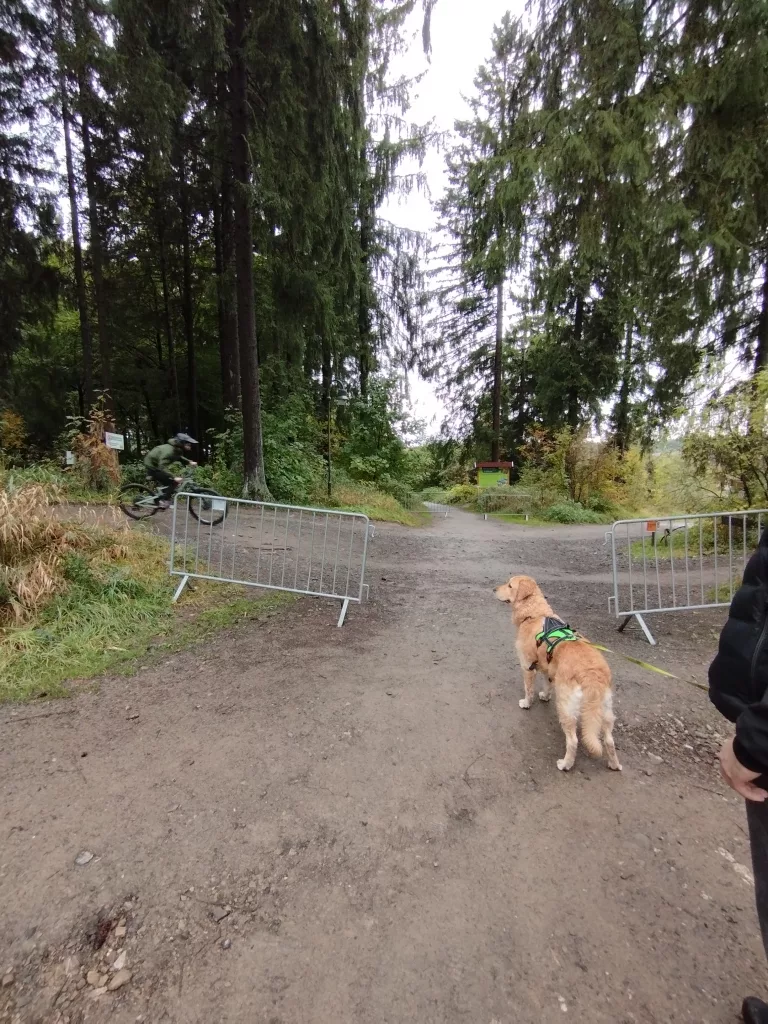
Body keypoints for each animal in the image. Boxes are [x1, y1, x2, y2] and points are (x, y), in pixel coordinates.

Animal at [494, 574, 621, 773]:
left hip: (565, 707)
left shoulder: (527, 665)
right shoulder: (549, 668)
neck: (534, 614)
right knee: (609, 740)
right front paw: (545, 696)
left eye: (509, 585)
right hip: (606, 711)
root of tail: (591, 674)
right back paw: (614, 764)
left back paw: (565, 764)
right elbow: (547, 684)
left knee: (573, 741)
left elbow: (528, 689)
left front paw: (526, 703)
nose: (493, 589)